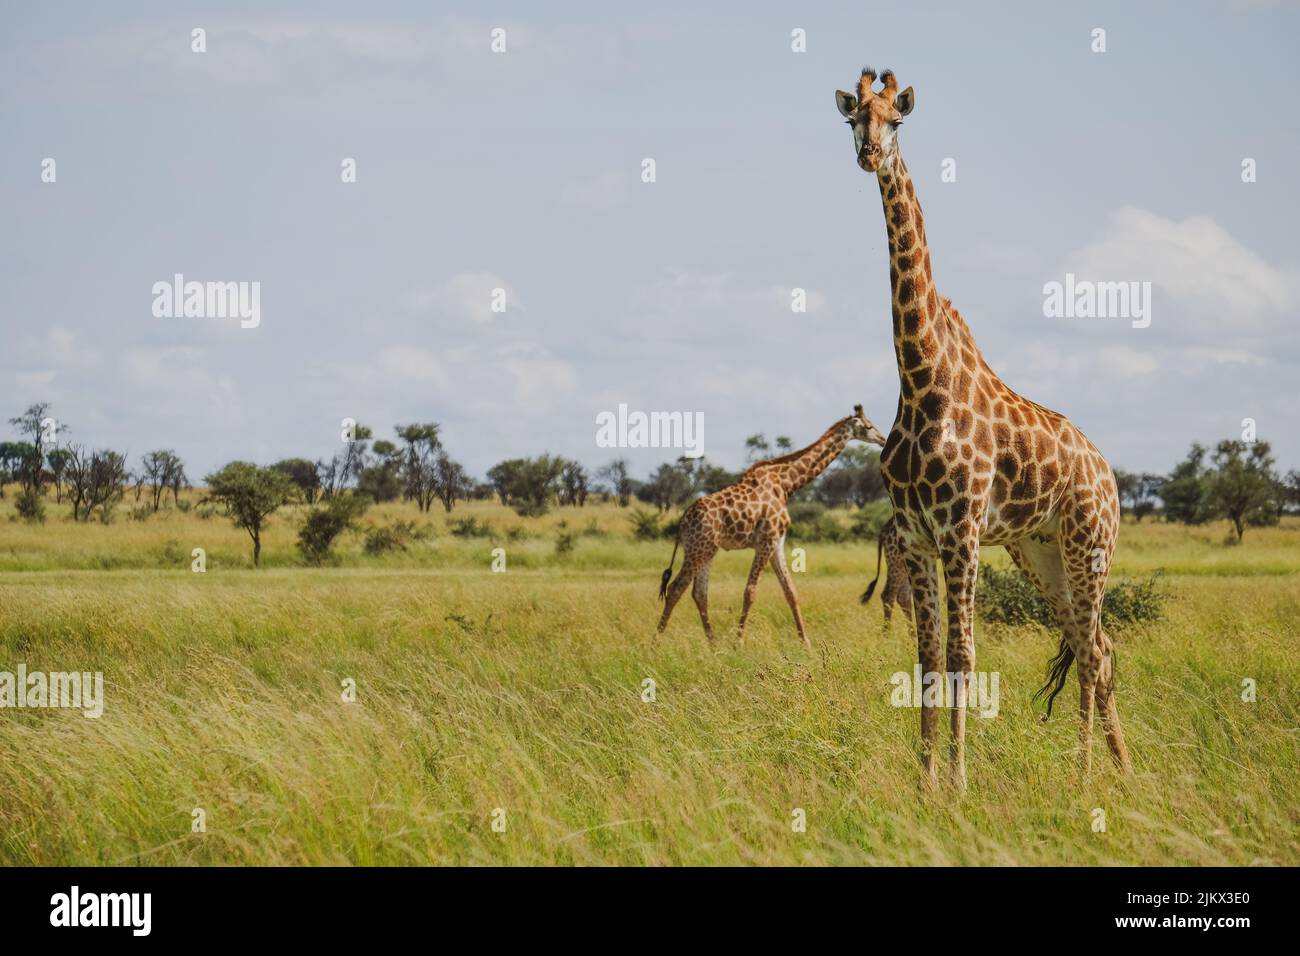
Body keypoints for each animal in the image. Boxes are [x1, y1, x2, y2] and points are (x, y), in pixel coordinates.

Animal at [655, 408, 889, 647]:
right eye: (869, 426)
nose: (883, 439)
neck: (787, 484)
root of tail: (683, 521)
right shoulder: (766, 541)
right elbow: (750, 592)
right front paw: (738, 643)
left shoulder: (777, 542)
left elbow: (790, 591)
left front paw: (806, 644)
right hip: (698, 548)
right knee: (676, 588)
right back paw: (656, 643)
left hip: (708, 549)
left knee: (699, 593)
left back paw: (713, 645)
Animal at [837, 65, 1133, 785]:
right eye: (854, 116)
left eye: (898, 118)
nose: (870, 154)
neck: (920, 379)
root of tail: (1109, 476)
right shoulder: (917, 536)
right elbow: (925, 658)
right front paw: (924, 782)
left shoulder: (963, 532)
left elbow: (964, 656)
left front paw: (959, 782)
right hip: (1040, 551)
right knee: (1094, 643)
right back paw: (1120, 770)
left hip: (1090, 545)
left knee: (1094, 649)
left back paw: (1087, 774)